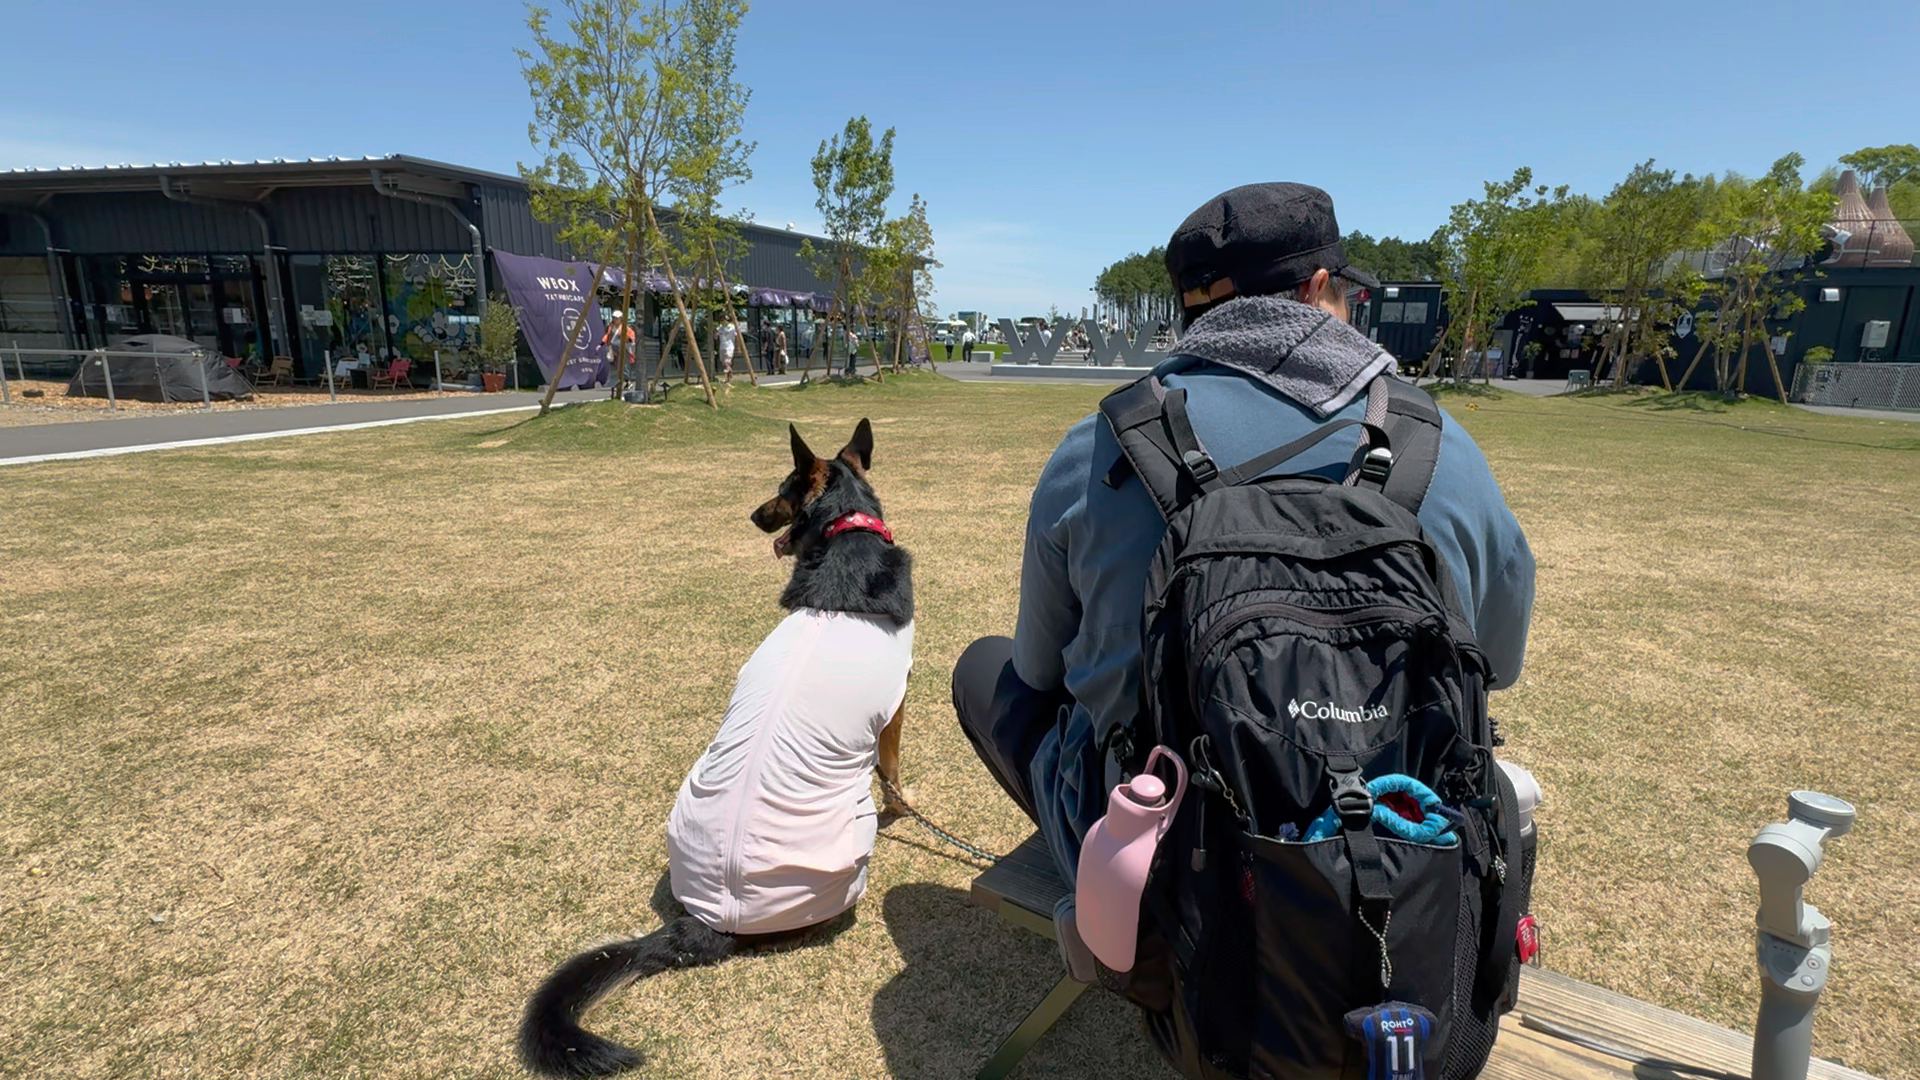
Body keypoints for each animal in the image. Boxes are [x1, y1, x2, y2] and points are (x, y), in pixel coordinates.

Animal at [518, 419, 914, 1078]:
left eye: (778, 489)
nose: (751, 514)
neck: (846, 534)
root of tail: (703, 921)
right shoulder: (897, 706)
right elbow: (895, 772)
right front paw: (906, 811)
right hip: (849, 845)